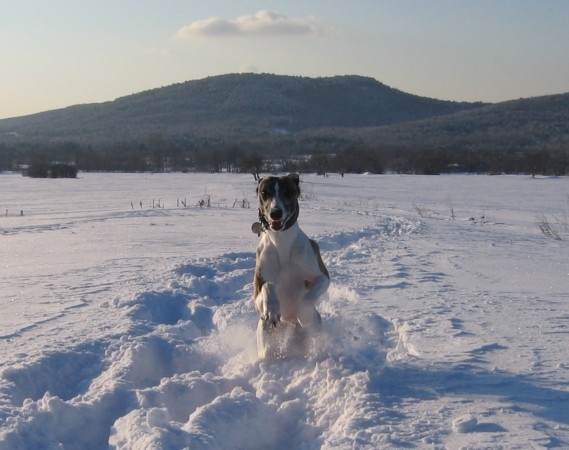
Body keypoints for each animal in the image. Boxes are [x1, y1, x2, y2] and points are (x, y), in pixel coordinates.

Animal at [252, 172, 328, 358]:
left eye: (288, 192)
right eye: (264, 193)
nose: (275, 213)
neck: (282, 242)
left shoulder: (322, 276)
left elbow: (308, 297)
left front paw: (303, 312)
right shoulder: (257, 294)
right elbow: (268, 286)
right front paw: (273, 309)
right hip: (264, 333)